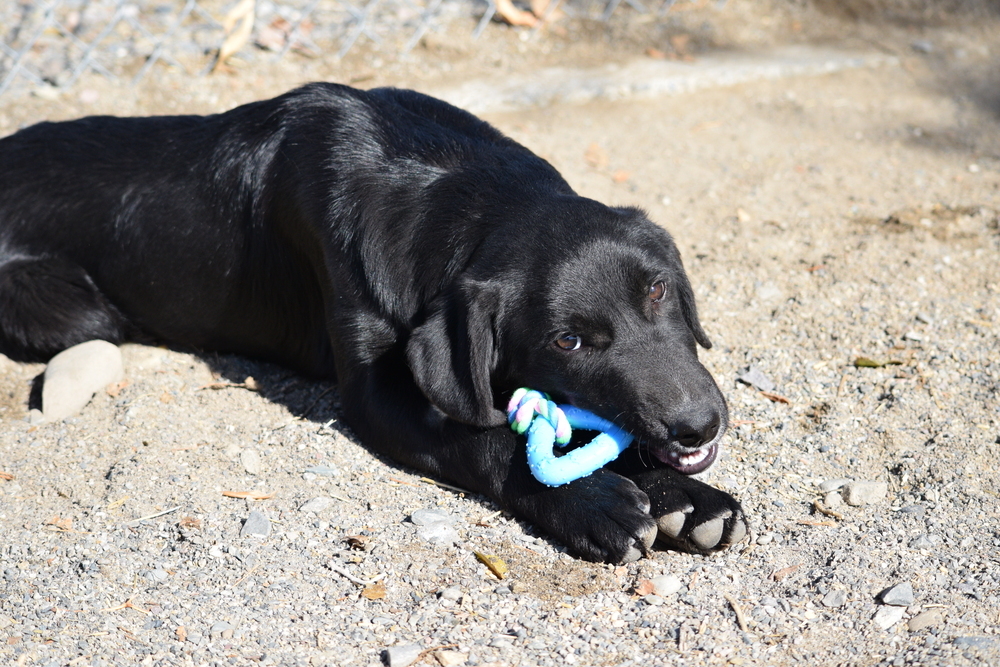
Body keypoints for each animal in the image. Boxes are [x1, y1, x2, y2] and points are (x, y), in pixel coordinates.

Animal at [0, 83, 744, 564]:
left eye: (658, 291)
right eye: (568, 340)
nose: (699, 424)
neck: (463, 189)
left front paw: (686, 496)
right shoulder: (378, 398)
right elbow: (487, 441)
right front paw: (595, 502)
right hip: (80, 312)